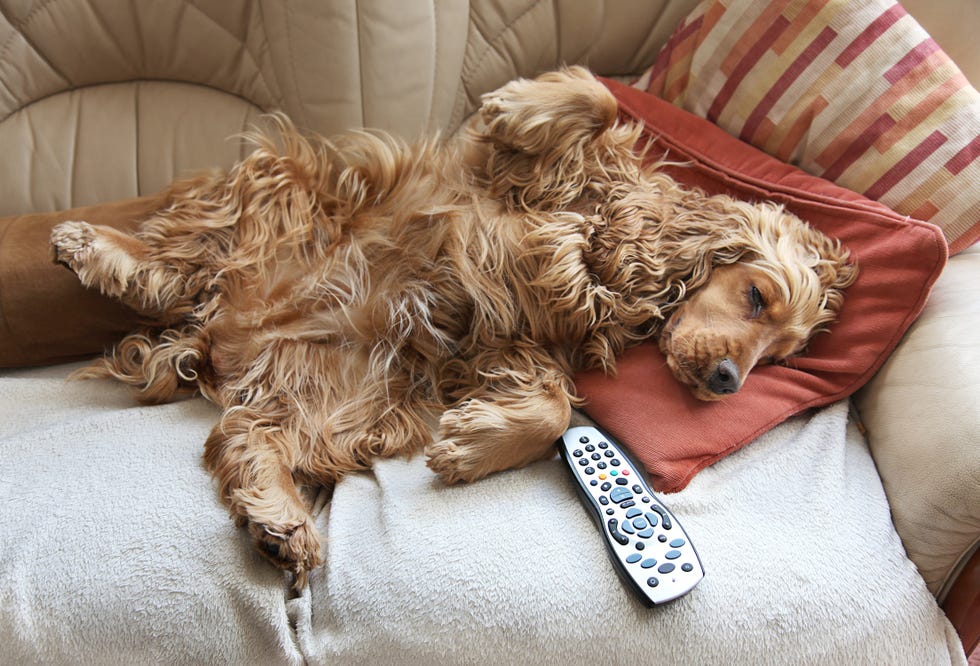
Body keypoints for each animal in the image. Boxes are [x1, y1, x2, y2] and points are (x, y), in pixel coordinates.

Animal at [49, 67, 852, 584]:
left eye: (779, 356)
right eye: (756, 298)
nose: (727, 381)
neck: (622, 252)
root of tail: (225, 336)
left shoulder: (515, 344)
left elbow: (553, 405)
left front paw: (471, 446)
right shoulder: (505, 177)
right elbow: (595, 98)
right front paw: (523, 101)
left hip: (346, 403)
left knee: (242, 435)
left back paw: (281, 525)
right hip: (280, 188)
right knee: (181, 264)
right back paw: (94, 245)